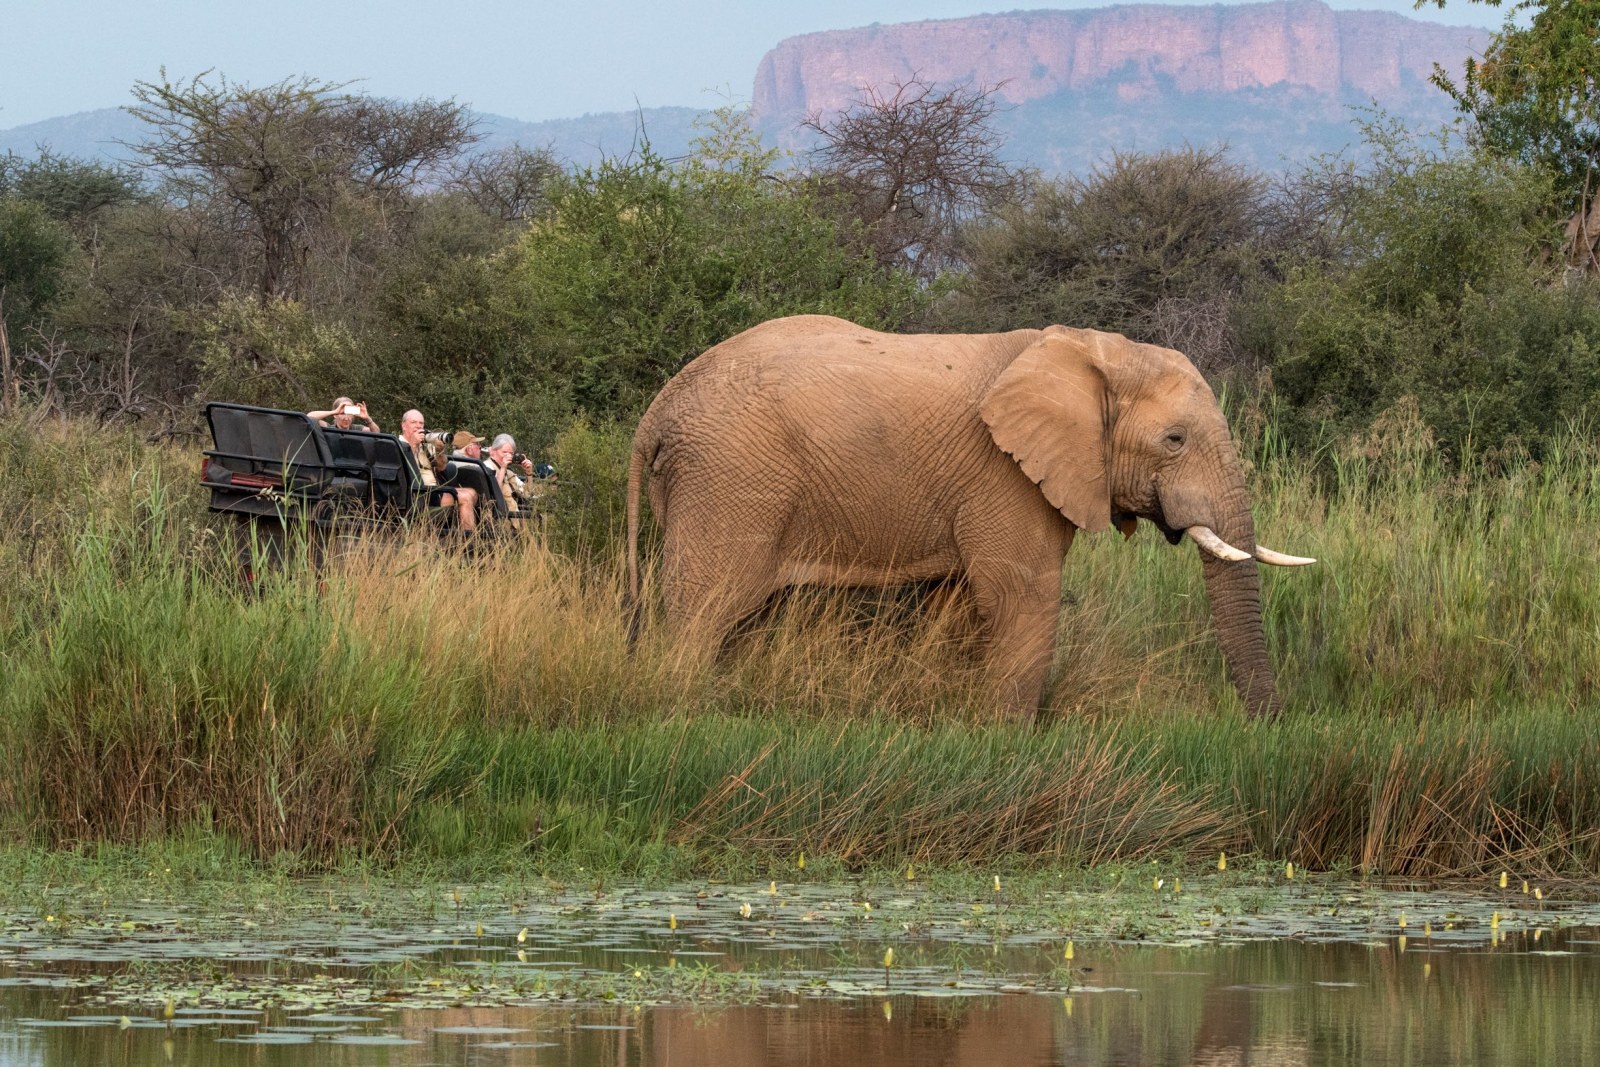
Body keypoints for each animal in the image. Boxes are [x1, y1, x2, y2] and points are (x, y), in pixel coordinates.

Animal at [624, 314, 1313, 718]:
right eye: (1174, 440)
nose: (1270, 726)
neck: (1092, 352)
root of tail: (657, 411)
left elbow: (958, 604)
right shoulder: (1003, 474)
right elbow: (1021, 594)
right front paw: (1012, 739)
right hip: (729, 482)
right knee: (708, 609)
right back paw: (687, 711)